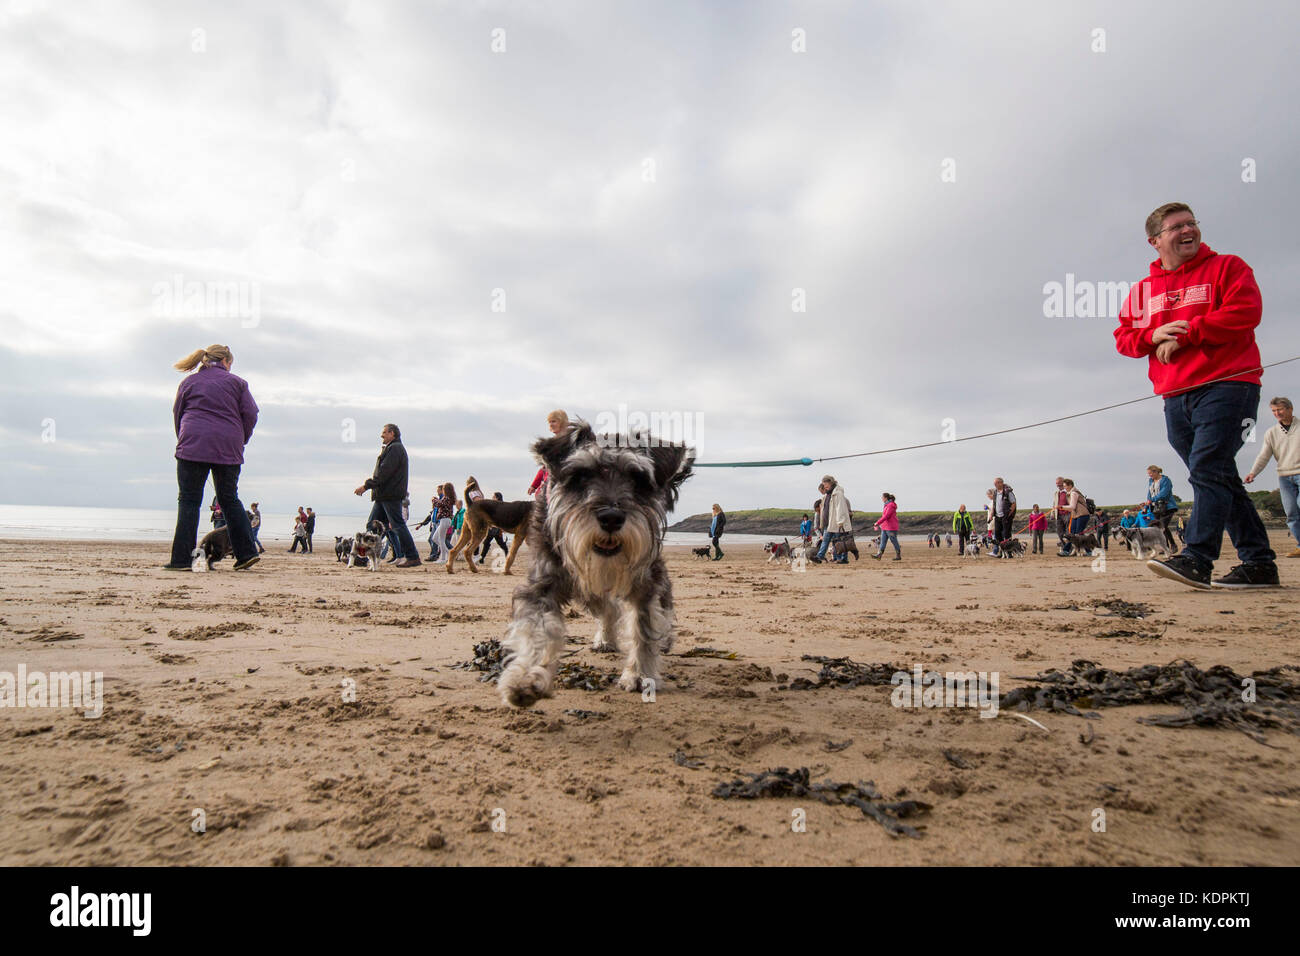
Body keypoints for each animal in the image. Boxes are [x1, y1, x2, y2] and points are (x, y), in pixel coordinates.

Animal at [496, 424, 696, 712]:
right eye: (580, 475)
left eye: (638, 479)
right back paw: (605, 639)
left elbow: (644, 626)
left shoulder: (646, 582)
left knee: (663, 604)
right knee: (608, 609)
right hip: (587, 591)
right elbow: (535, 628)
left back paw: (666, 636)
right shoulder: (542, 583)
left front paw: (640, 675)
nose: (611, 518)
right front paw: (525, 678)